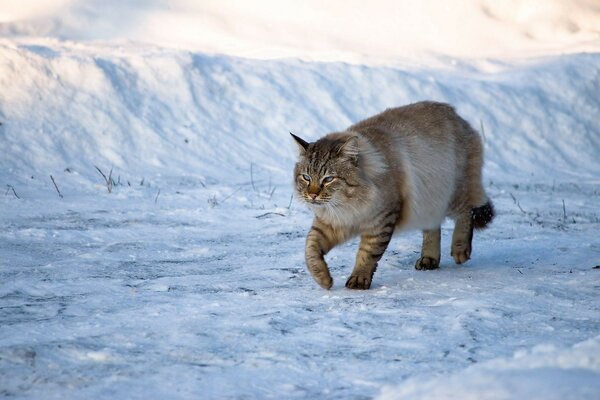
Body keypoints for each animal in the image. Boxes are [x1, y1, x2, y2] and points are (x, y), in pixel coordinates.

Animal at [290, 101, 492, 290]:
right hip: (430, 202)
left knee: (466, 213)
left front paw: (359, 279)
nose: (312, 195)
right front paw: (323, 278)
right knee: (434, 229)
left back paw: (460, 249)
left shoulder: (381, 221)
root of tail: (455, 114)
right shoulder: (330, 223)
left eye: (328, 179)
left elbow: (367, 254)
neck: (349, 205)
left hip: (454, 194)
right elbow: (310, 249)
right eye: (306, 177)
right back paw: (429, 259)